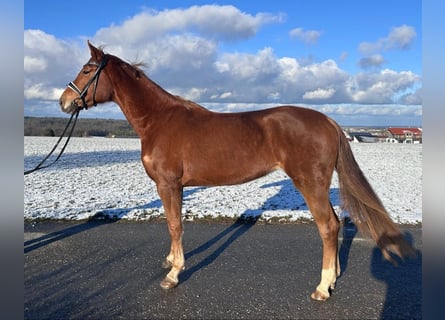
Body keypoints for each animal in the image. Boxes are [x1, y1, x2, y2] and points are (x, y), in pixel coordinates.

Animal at [59, 42, 412, 300]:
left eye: (87, 69)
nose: (64, 101)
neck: (159, 120)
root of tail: (327, 120)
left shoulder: (168, 184)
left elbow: (174, 225)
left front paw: (173, 274)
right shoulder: (176, 186)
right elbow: (174, 225)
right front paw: (171, 262)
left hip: (310, 183)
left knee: (327, 228)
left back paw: (322, 288)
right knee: (337, 224)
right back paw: (334, 277)